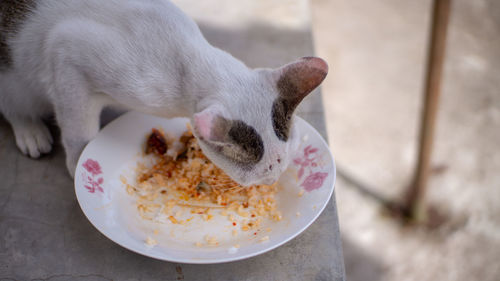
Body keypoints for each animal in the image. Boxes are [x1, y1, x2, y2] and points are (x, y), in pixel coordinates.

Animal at [0, 0, 328, 186]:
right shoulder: (67, 55)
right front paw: (80, 162)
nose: (271, 182)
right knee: (13, 104)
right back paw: (30, 130)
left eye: (283, 164)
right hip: (16, 79)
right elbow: (79, 130)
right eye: (264, 172)